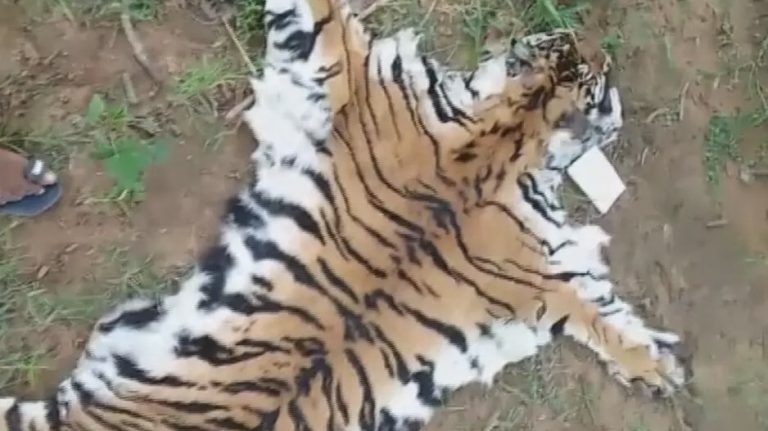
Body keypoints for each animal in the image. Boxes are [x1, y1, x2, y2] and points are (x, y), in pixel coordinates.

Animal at [0, 0, 687, 429]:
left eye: (591, 64)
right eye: (577, 53)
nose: (595, 39)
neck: (515, 129)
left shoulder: (542, 275)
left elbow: (601, 315)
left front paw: (658, 370)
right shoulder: (350, 73)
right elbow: (324, 13)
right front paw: (661, 367)